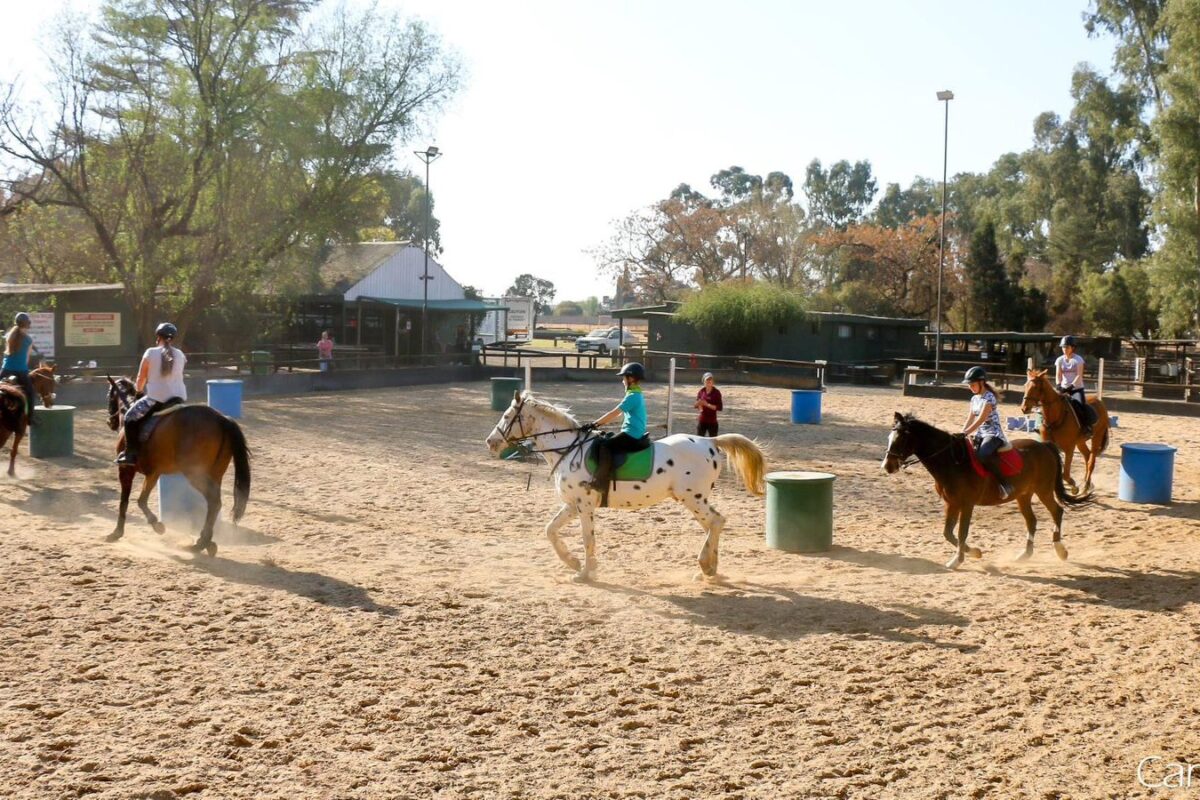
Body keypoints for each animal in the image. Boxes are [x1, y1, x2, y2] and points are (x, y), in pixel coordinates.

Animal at [104, 376, 249, 556]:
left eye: (109, 396)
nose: (110, 421)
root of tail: (222, 419)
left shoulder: (126, 470)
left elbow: (126, 501)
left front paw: (118, 532)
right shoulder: (154, 473)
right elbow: (141, 500)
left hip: (195, 474)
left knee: (213, 501)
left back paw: (200, 543)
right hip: (215, 474)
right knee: (214, 503)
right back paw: (205, 542)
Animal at [482, 388, 763, 582]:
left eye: (507, 416)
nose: (490, 442)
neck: (568, 449)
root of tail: (710, 442)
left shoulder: (584, 505)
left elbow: (588, 538)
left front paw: (585, 573)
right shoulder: (572, 505)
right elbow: (550, 530)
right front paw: (573, 562)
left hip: (692, 498)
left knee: (716, 521)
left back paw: (706, 565)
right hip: (692, 499)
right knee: (714, 525)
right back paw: (710, 569)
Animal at [883, 412, 1089, 568]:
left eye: (901, 439)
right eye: (889, 438)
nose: (887, 466)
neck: (951, 462)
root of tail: (1044, 446)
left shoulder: (967, 504)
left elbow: (961, 532)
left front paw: (958, 560)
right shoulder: (952, 503)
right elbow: (948, 533)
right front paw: (974, 552)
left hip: (1043, 490)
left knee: (1057, 511)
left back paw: (1061, 551)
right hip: (1023, 495)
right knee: (1032, 520)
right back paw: (1025, 554)